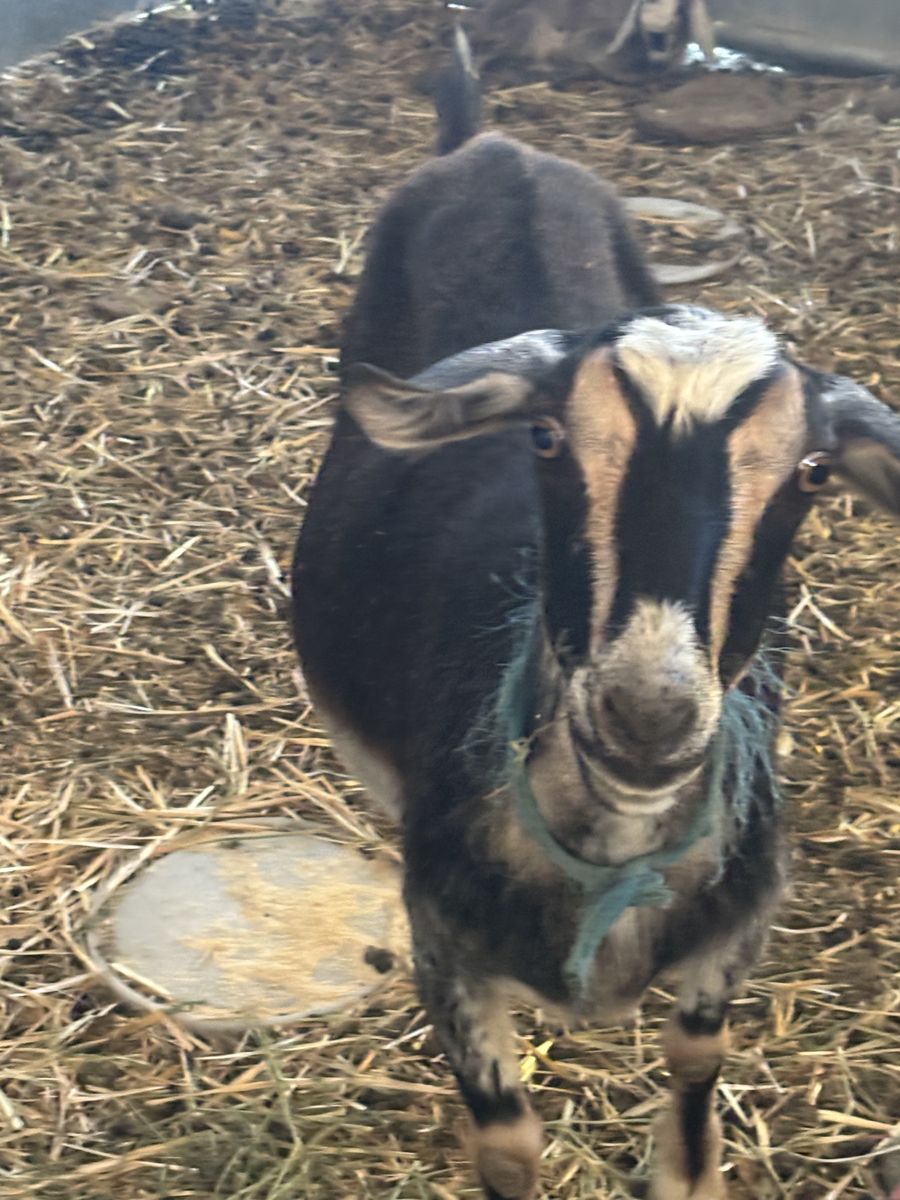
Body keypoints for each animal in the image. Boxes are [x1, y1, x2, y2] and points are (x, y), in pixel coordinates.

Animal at [292, 30, 900, 1200]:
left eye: (811, 474)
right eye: (545, 438)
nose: (647, 715)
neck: (612, 845)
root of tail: (490, 142)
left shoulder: (739, 921)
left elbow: (698, 1055)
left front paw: (684, 1169)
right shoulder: (445, 948)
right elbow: (507, 1140)